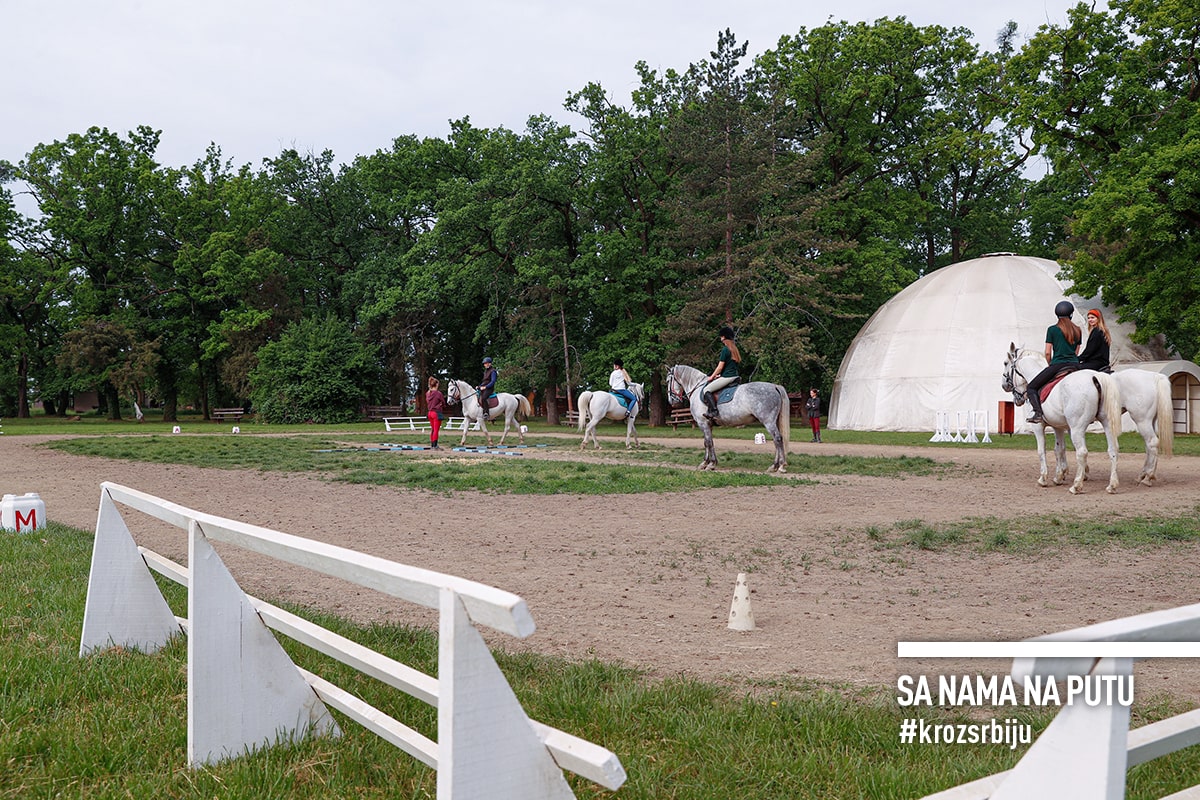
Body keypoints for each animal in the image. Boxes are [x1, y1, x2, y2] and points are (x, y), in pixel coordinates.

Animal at [662, 364, 792, 472]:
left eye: (668, 381)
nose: (671, 401)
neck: (697, 388)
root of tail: (774, 386)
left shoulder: (703, 423)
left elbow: (708, 442)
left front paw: (710, 464)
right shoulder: (707, 424)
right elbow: (708, 442)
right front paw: (707, 463)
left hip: (768, 421)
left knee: (777, 439)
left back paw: (779, 466)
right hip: (773, 421)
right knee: (776, 440)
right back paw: (774, 466)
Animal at [1003, 345, 1123, 494]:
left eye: (1005, 363)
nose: (1004, 386)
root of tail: (1095, 377)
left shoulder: (1038, 426)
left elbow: (1041, 450)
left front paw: (1043, 478)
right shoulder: (1058, 427)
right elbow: (1059, 449)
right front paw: (1059, 476)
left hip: (1077, 428)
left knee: (1082, 452)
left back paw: (1076, 486)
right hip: (1107, 423)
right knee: (1113, 450)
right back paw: (1112, 485)